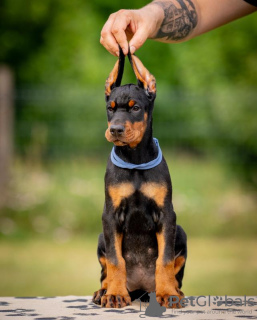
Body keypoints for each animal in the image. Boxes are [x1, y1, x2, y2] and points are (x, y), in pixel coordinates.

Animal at [92, 50, 186, 310]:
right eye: (110, 108)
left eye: (135, 108)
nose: (115, 130)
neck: (134, 160)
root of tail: (141, 290)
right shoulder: (110, 214)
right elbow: (115, 260)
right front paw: (115, 294)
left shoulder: (166, 214)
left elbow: (164, 260)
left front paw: (168, 293)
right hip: (101, 236)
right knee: (105, 271)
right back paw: (103, 292)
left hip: (181, 232)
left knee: (175, 274)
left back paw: (174, 291)